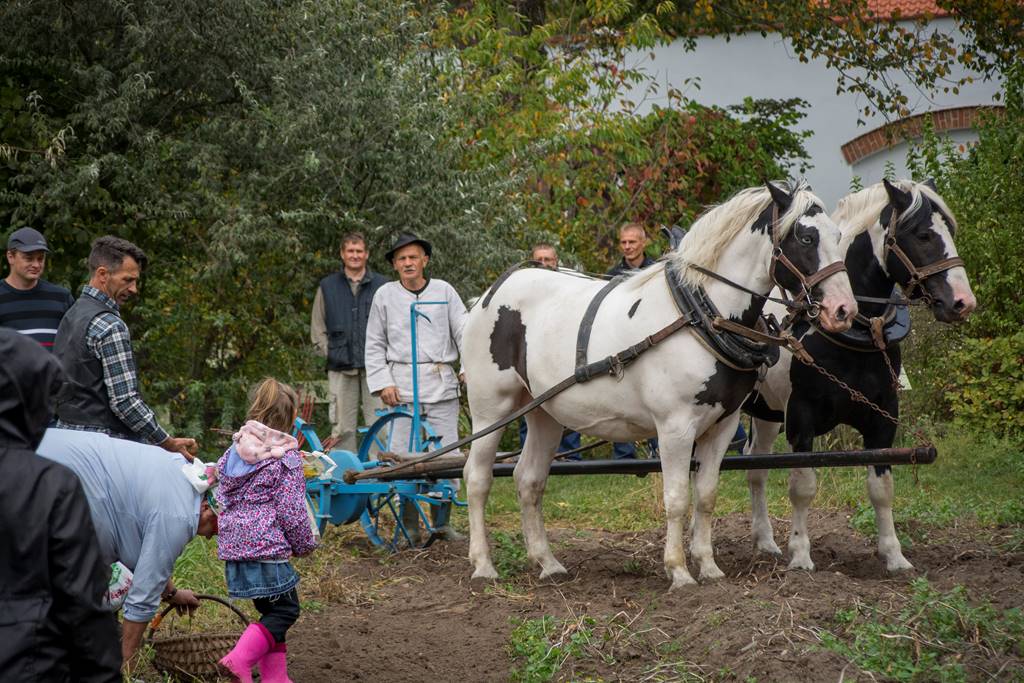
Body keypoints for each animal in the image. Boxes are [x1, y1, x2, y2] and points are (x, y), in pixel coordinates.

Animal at [461, 181, 858, 589]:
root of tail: (489, 295)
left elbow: (706, 495)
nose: (844, 310)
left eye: (838, 236)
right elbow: (677, 498)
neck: (701, 314)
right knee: (476, 479)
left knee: (529, 480)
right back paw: (483, 564)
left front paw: (709, 567)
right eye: (806, 237)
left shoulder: (724, 424)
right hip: (491, 409)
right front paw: (679, 571)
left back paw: (547, 562)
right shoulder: (674, 428)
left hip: (544, 412)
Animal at [743, 178, 976, 573]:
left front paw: (894, 555)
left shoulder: (884, 417)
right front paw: (801, 554)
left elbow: (882, 489)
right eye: (923, 234)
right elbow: (802, 485)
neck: (853, 333)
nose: (963, 302)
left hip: (766, 414)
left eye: (951, 230)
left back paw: (764, 541)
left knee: (754, 467)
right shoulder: (801, 418)